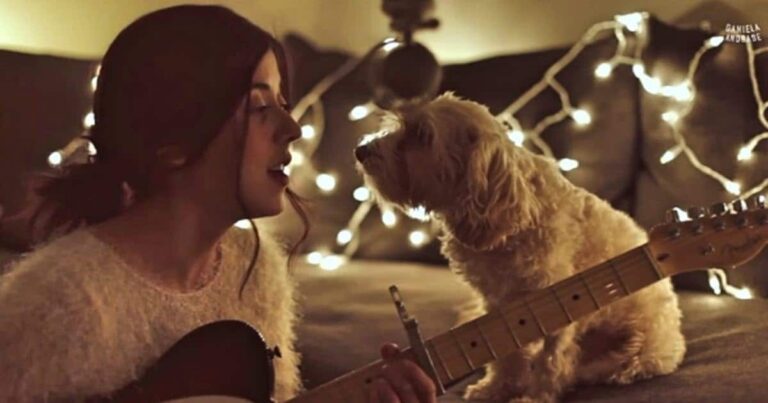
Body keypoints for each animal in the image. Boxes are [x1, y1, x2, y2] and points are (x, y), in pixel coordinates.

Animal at [354, 94, 684, 403]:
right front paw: (498, 387)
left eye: (422, 135)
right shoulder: (496, 302)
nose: (360, 150)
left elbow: (551, 359)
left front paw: (536, 395)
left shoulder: (554, 298)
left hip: (640, 345)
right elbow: (506, 355)